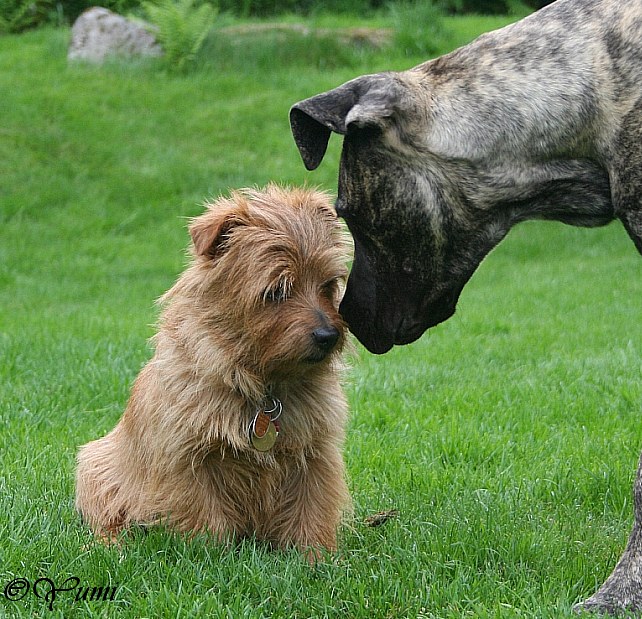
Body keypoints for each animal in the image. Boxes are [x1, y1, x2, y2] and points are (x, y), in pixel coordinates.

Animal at [78, 184, 352, 552]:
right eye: (277, 291)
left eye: (327, 285)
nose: (328, 335)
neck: (262, 387)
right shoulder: (189, 458)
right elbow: (205, 516)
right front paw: (213, 556)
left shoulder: (314, 454)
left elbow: (310, 510)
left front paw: (315, 557)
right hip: (95, 465)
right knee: (106, 517)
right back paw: (114, 544)